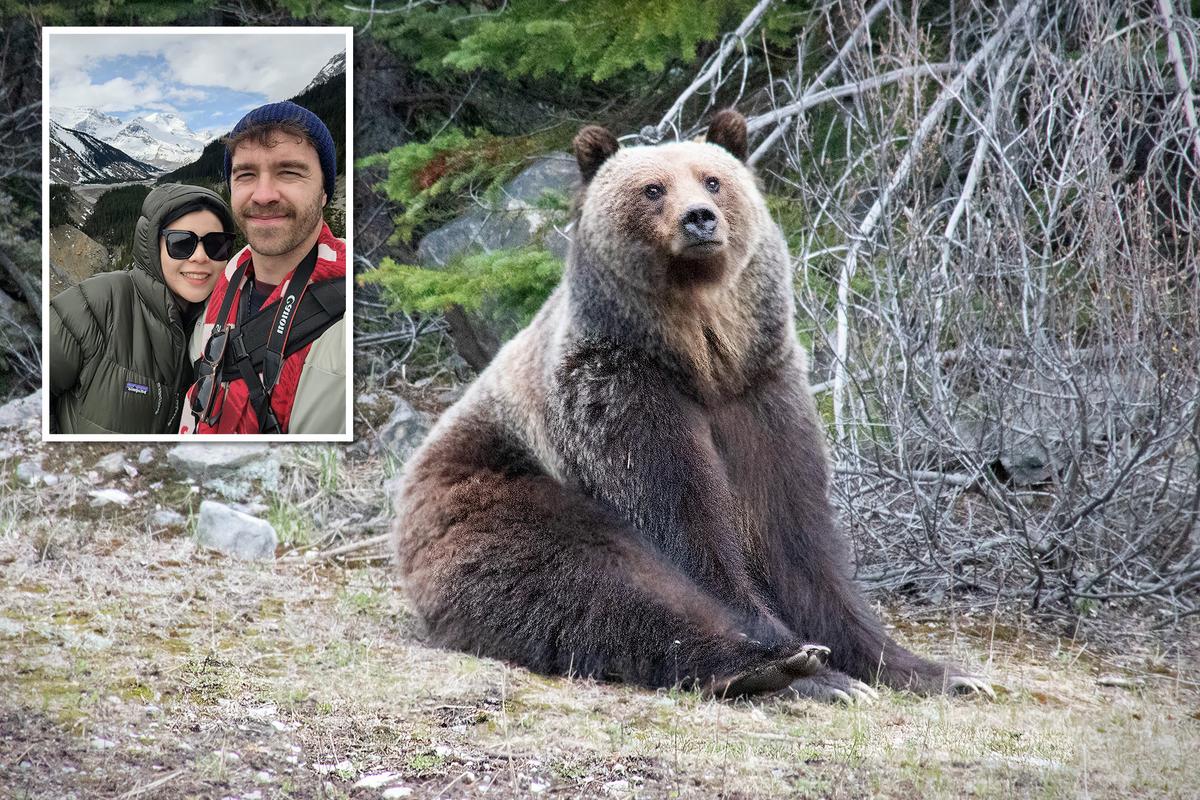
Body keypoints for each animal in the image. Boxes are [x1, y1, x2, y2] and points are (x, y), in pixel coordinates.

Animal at [392, 109, 992, 702]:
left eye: (713, 180)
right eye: (653, 188)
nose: (699, 219)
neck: (702, 356)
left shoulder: (760, 393)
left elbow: (795, 534)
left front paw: (931, 670)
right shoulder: (626, 392)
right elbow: (685, 524)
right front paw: (812, 666)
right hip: (491, 492)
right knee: (589, 579)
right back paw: (771, 667)